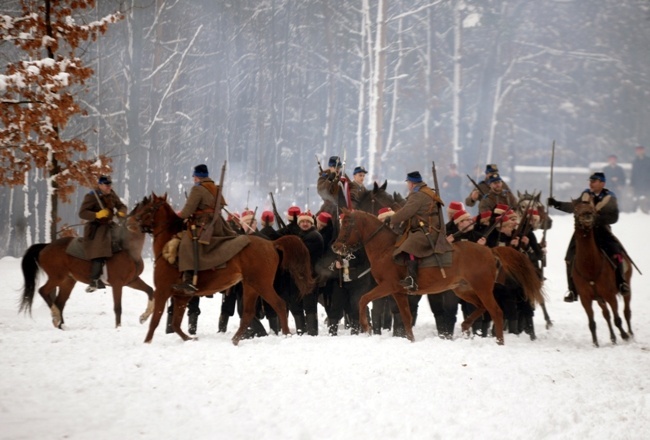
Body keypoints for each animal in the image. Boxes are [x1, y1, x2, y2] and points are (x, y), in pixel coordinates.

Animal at [19, 215, 153, 328]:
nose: (131, 223)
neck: (129, 251)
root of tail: (46, 246)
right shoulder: (117, 284)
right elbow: (118, 308)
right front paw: (118, 328)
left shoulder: (132, 281)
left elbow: (150, 290)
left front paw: (143, 317)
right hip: (57, 277)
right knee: (43, 291)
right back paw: (56, 317)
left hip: (68, 281)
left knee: (60, 303)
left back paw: (61, 326)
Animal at [130, 194, 312, 346]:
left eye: (147, 208)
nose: (130, 222)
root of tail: (271, 243)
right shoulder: (180, 296)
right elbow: (175, 323)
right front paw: (190, 338)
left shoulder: (163, 290)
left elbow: (156, 319)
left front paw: (147, 341)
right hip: (250, 286)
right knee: (248, 313)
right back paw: (236, 339)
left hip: (261, 284)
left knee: (279, 305)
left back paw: (286, 334)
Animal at [332, 209, 544, 344]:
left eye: (347, 224)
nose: (335, 247)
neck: (386, 249)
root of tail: (490, 251)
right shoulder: (399, 292)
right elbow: (406, 316)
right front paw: (411, 339)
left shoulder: (388, 286)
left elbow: (363, 299)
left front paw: (366, 327)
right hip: (463, 289)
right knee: (482, 308)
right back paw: (466, 325)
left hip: (482, 288)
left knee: (496, 312)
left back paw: (499, 341)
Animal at [568, 200, 632, 348]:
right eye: (575, 210)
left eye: (591, 209)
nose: (587, 215)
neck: (589, 266)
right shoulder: (585, 299)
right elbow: (592, 323)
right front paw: (595, 343)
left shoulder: (610, 296)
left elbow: (617, 319)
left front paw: (624, 336)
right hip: (599, 299)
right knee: (606, 314)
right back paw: (613, 337)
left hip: (626, 286)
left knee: (626, 311)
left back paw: (630, 334)